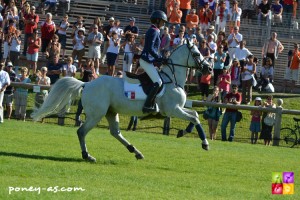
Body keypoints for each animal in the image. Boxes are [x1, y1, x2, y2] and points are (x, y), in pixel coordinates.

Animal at [31, 39, 212, 162]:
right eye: (197, 54)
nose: (209, 69)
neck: (172, 79)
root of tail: (87, 83)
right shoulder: (173, 109)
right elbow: (195, 118)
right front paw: (204, 143)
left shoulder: (178, 108)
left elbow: (195, 114)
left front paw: (183, 132)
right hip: (97, 114)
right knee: (82, 132)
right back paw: (87, 155)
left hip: (111, 112)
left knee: (115, 132)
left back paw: (136, 151)